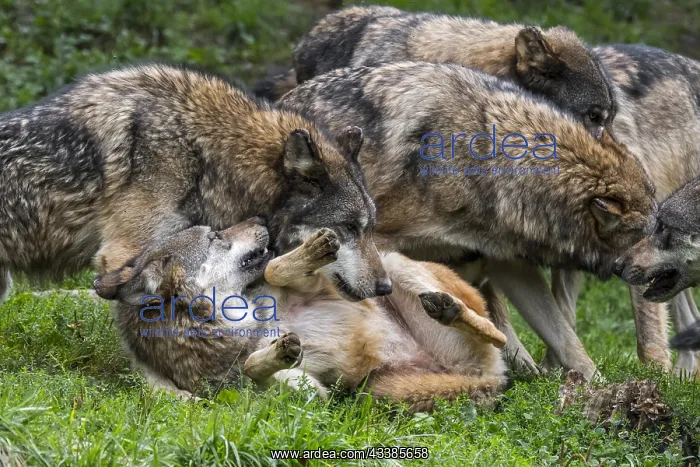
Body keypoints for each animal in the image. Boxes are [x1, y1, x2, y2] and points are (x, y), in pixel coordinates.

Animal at [95, 218, 507, 411]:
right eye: (215, 236)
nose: (260, 218)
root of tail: (488, 377)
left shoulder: (315, 286)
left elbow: (277, 268)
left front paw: (310, 251)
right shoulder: (312, 394)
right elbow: (253, 368)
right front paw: (276, 354)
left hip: (396, 266)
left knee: (496, 331)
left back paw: (448, 308)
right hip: (378, 389)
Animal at [276, 62, 657, 380]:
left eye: (659, 228)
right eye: (649, 232)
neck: (487, 162)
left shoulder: (508, 264)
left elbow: (565, 337)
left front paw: (598, 389)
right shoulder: (380, 245)